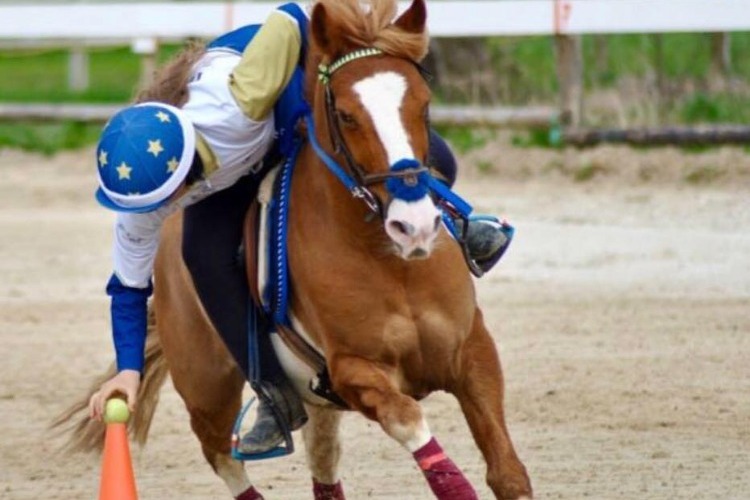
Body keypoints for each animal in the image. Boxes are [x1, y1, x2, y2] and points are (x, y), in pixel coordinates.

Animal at [55, 0, 532, 498]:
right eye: (346, 115)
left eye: (424, 105)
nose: (414, 227)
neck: (390, 264)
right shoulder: (354, 370)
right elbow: (408, 418)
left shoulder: (474, 352)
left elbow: (508, 473)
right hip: (208, 392)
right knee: (222, 455)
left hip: (316, 403)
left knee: (323, 463)